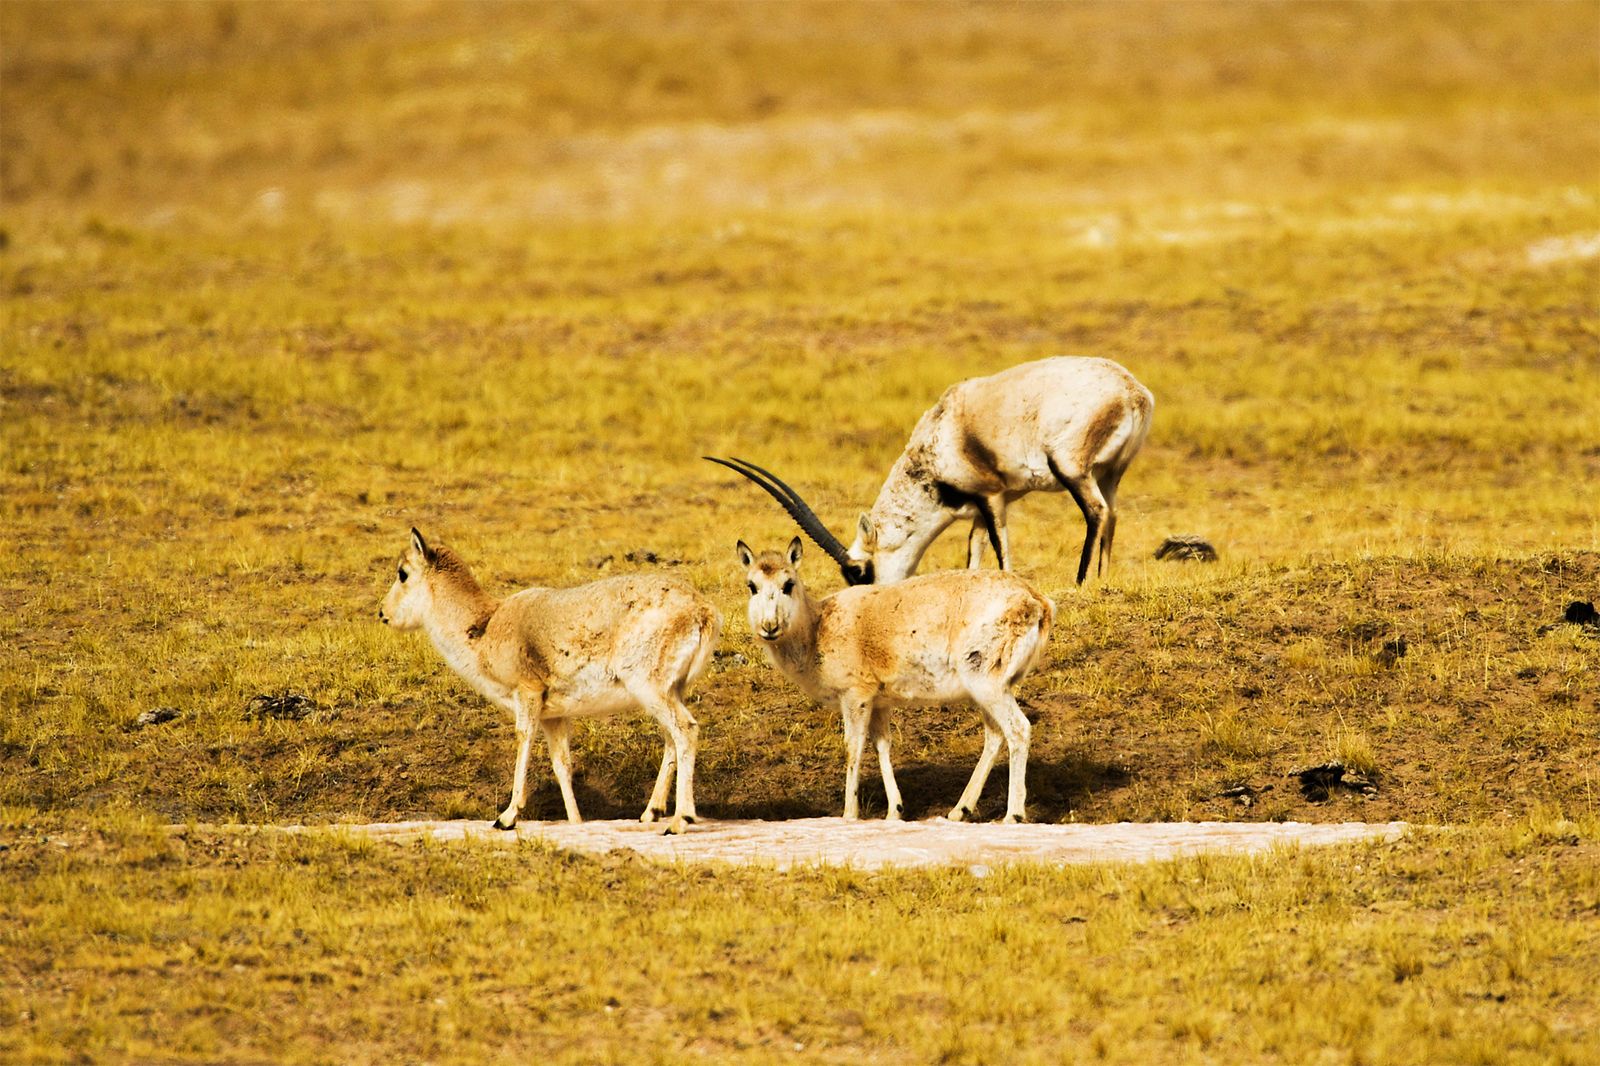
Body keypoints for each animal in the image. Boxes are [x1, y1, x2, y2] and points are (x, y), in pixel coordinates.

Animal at [380, 528, 720, 832]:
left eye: (403, 573)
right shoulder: (554, 717)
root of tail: (703, 610)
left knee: (685, 730)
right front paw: (576, 820)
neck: (488, 627)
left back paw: (679, 820)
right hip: (670, 692)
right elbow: (562, 764)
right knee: (671, 738)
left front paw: (506, 817)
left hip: (650, 689)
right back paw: (652, 812)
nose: (382, 613)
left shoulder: (527, 694)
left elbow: (523, 739)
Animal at [710, 356, 1152, 589]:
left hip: (1071, 469)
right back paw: (1103, 582)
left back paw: (1081, 582)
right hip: (1111, 474)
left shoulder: (992, 496)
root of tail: (1132, 391)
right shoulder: (982, 507)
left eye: (858, 571)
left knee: (1096, 512)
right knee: (1113, 513)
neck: (940, 433)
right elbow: (975, 551)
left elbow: (1001, 547)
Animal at [732, 534, 1049, 816]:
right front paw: (894, 810)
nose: (769, 626)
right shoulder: (880, 703)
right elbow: (882, 745)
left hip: (986, 683)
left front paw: (849, 814)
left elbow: (853, 748)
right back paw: (959, 811)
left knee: (1018, 729)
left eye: (788, 584)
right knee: (995, 735)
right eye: (752, 586)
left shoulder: (855, 696)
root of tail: (1037, 601)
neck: (818, 627)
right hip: (990, 690)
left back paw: (1012, 814)